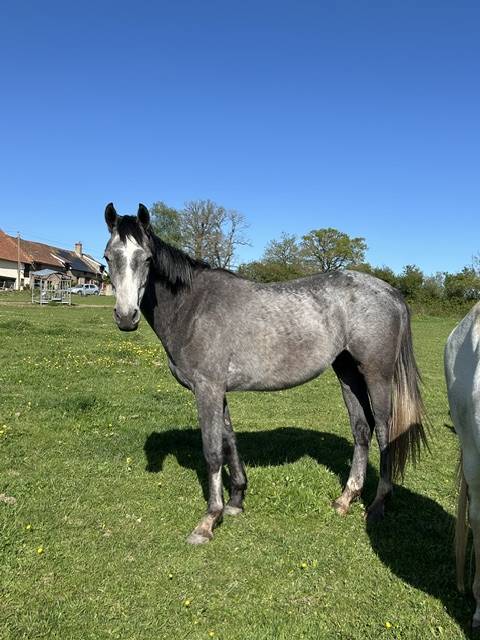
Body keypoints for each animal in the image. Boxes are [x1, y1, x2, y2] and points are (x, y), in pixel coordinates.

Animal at [104, 203, 427, 544]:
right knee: (361, 429)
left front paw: (209, 520)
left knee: (384, 432)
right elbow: (229, 440)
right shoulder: (218, 391)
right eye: (108, 257)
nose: (126, 317)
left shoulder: (207, 389)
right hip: (347, 372)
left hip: (376, 375)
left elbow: (212, 451)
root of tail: (391, 292)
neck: (193, 307)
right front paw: (236, 500)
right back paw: (345, 499)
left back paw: (378, 504)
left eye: (147, 259)